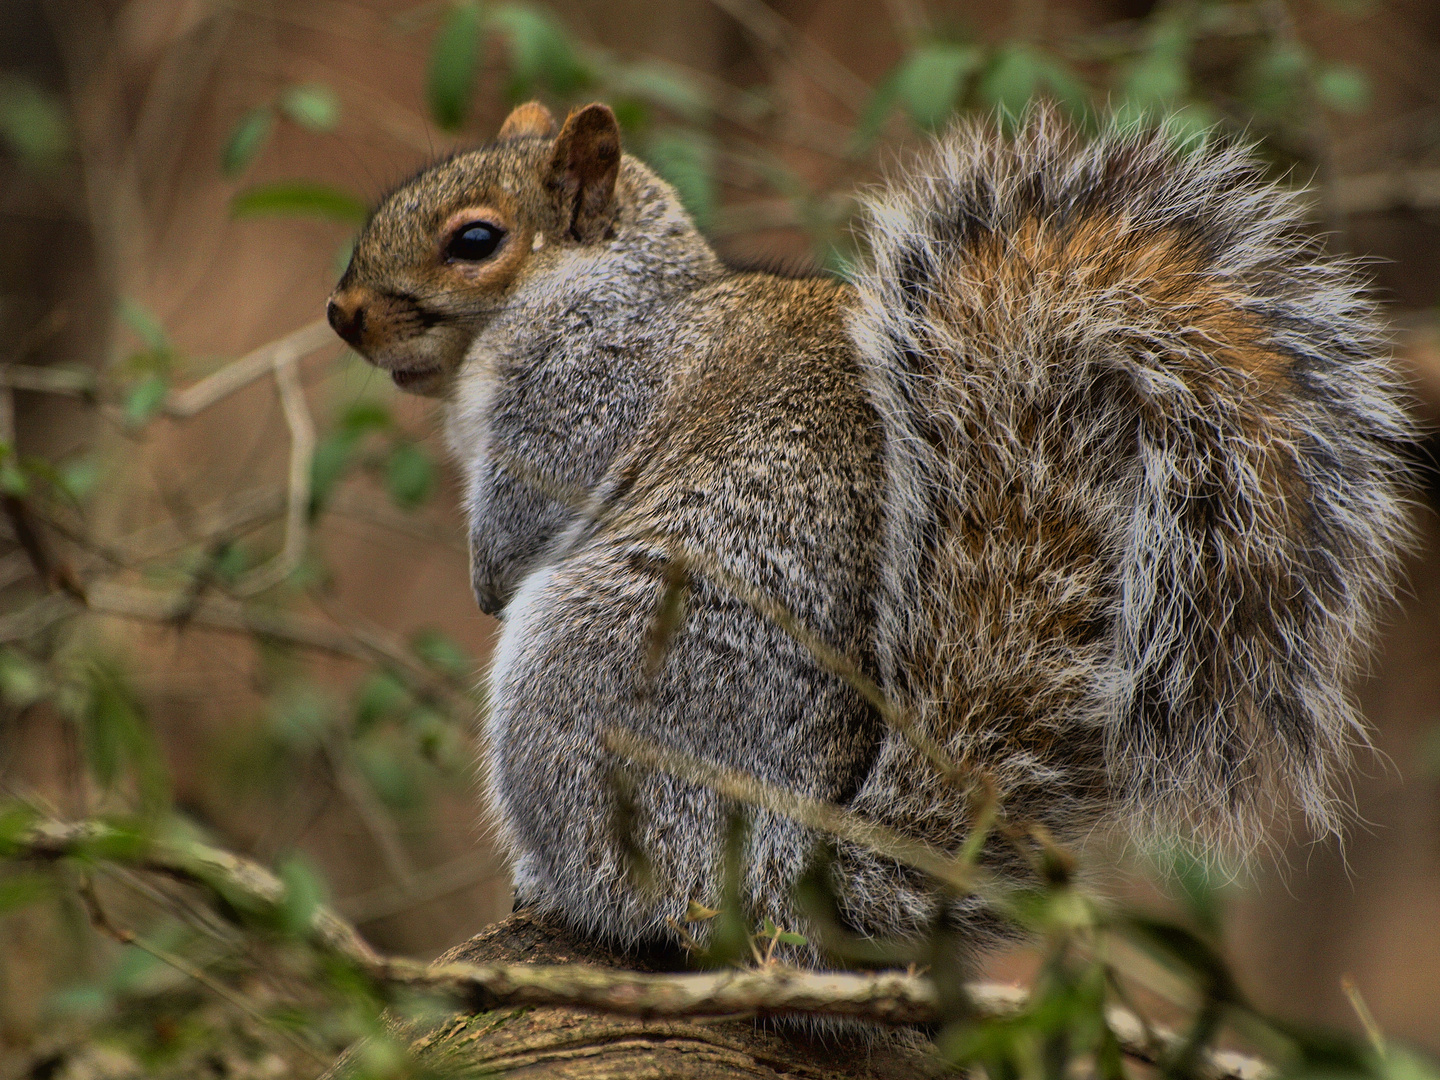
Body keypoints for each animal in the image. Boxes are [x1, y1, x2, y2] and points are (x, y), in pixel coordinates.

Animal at [329, 101, 1416, 961]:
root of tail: (780, 877)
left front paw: (486, 572)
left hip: (585, 675)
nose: (341, 315)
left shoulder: (588, 386)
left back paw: (561, 893)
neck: (616, 280)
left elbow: (527, 517)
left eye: (476, 240)